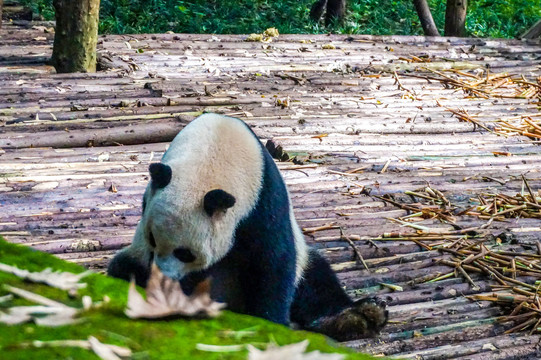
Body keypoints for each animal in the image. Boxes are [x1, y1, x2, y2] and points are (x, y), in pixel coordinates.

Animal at [108, 113, 388, 340]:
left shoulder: (263, 202)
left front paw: (270, 322)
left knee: (316, 281)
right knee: (123, 268)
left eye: (185, 253)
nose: (164, 277)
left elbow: (273, 264)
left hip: (305, 263)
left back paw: (359, 316)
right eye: (152, 240)